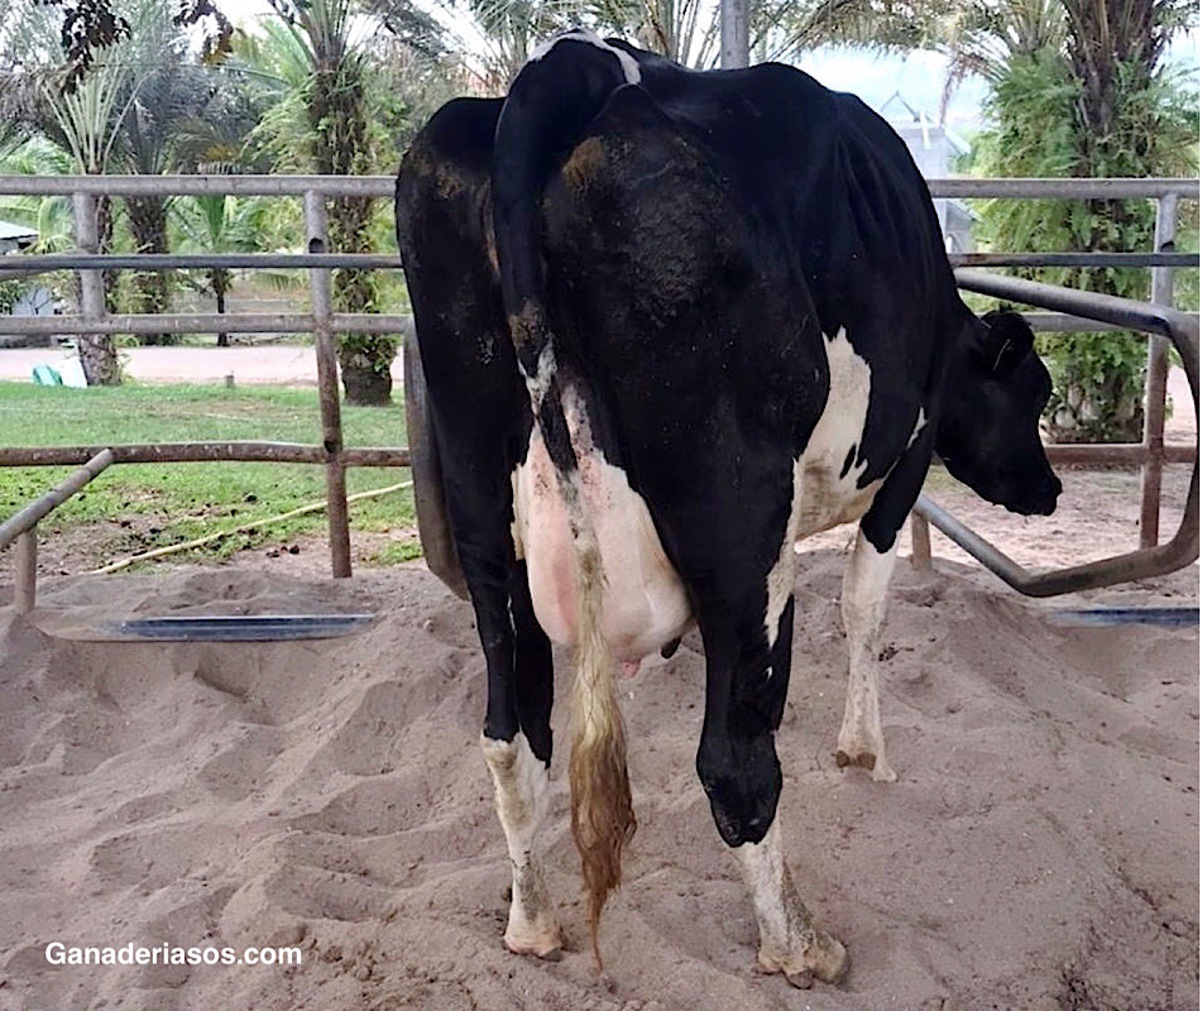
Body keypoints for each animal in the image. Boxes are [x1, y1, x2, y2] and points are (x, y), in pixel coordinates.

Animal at [396, 31, 1060, 984]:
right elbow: (864, 603)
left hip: (487, 518)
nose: (1051, 489)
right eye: (1035, 394)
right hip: (742, 525)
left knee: (511, 738)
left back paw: (532, 922)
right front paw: (866, 749)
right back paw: (797, 941)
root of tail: (567, 65)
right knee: (736, 761)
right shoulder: (906, 459)